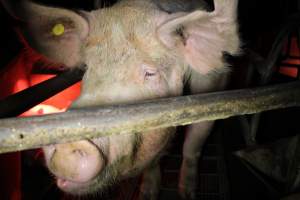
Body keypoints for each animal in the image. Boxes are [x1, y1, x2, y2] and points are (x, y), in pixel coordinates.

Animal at [12, 0, 240, 198]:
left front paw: (187, 194)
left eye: (150, 73)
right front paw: (147, 194)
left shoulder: (215, 90)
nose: (70, 142)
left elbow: (192, 146)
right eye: (86, 68)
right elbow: (154, 159)